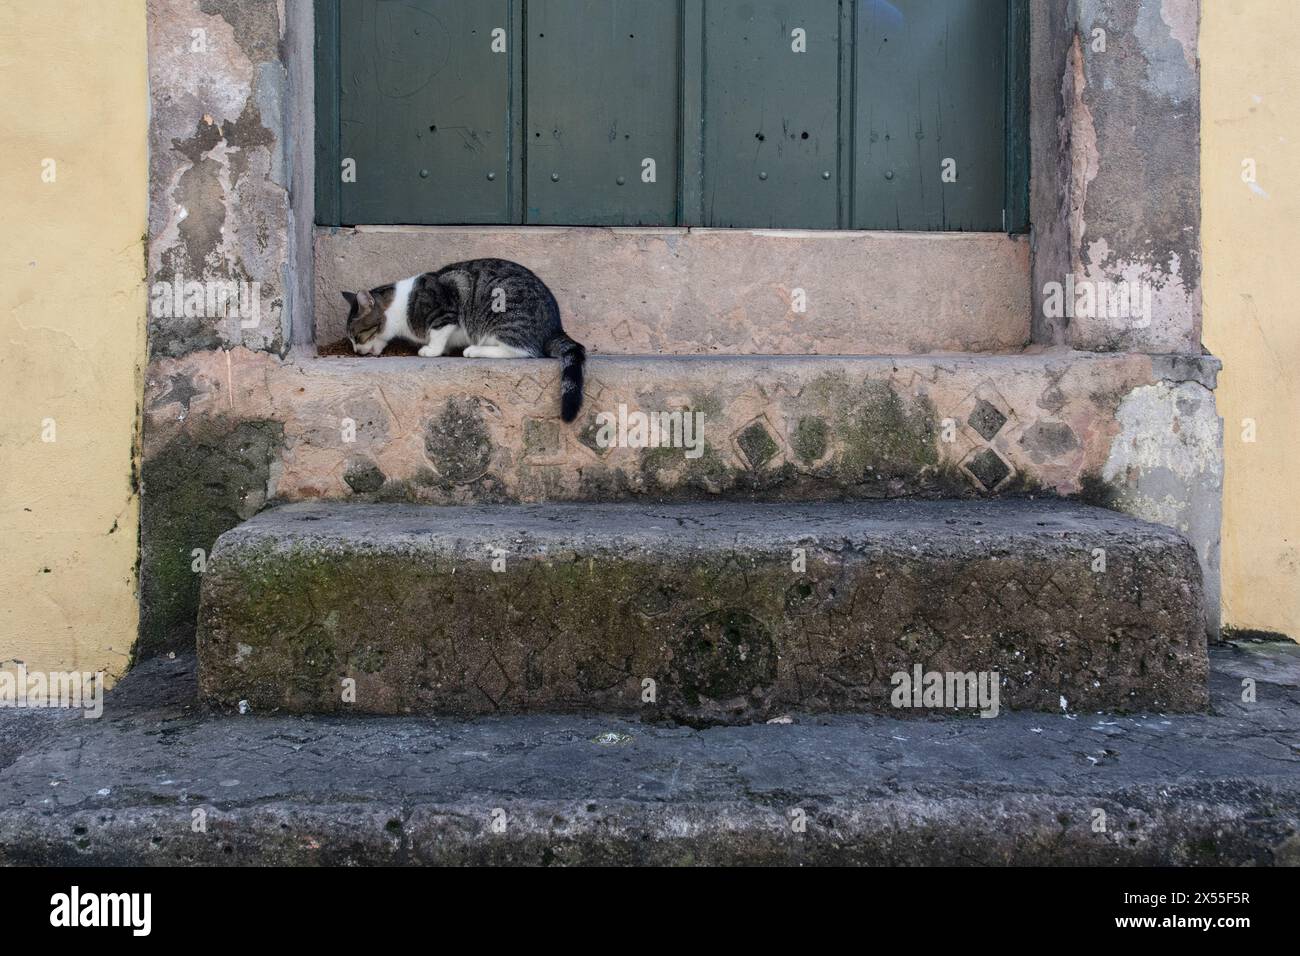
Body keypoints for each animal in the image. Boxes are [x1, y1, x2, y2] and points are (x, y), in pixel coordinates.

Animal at [345, 261, 590, 426]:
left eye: (357, 336)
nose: (356, 351)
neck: (399, 307)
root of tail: (555, 327)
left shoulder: (445, 311)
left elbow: (438, 333)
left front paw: (431, 350)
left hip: (504, 316)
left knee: (524, 350)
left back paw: (474, 349)